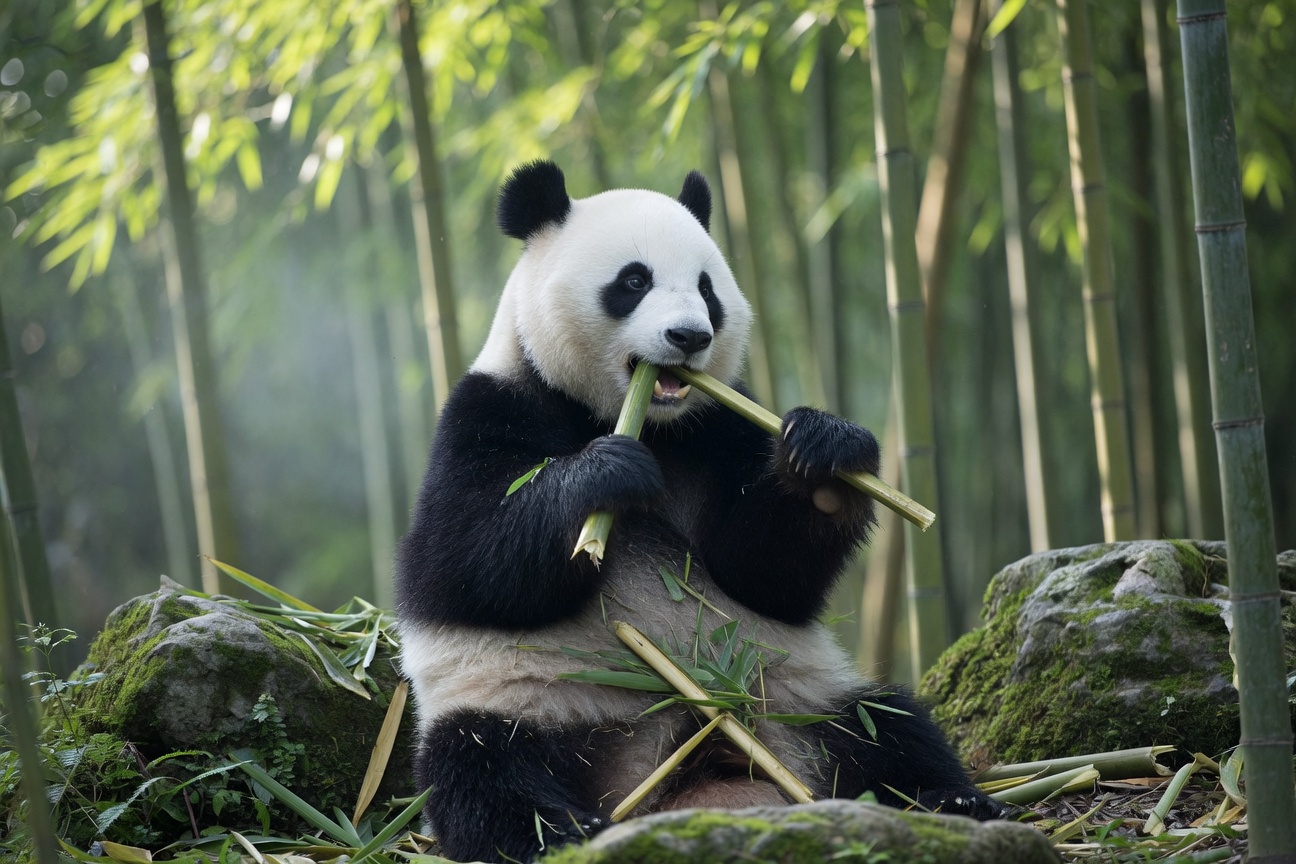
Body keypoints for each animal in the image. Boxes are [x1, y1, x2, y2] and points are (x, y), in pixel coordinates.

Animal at [396, 161, 1003, 863]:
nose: (690, 336)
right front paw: (604, 476)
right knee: (484, 770)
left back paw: (955, 800)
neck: (638, 420)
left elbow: (764, 573)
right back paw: (565, 832)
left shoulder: (717, 426)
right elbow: (462, 564)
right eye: (634, 281)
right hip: (534, 704)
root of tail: (678, 779)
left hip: (796, 701)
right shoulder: (489, 411)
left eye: (707, 289)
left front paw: (825, 456)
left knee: (887, 728)